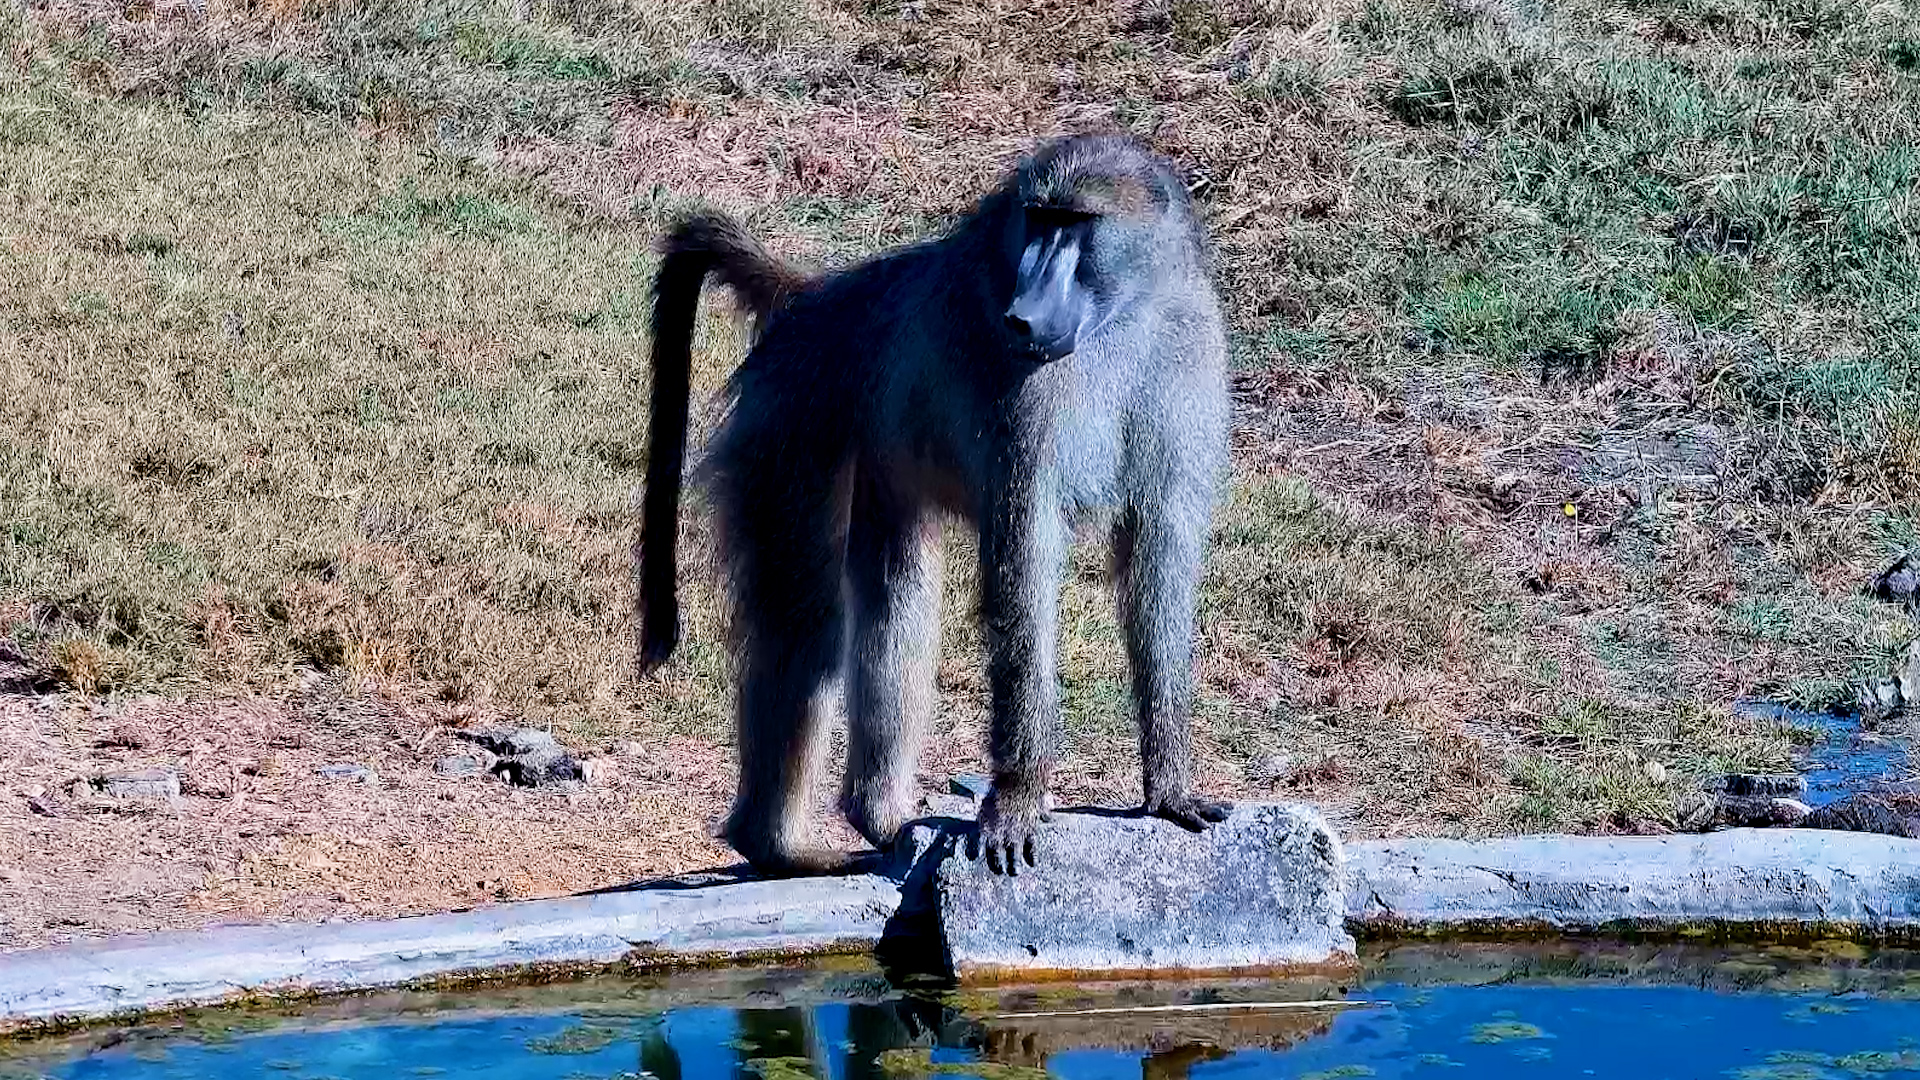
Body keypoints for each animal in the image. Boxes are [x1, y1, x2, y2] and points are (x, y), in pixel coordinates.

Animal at [639, 133, 1232, 877]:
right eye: (1038, 219)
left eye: (1074, 223)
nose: (1023, 314)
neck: (1127, 319)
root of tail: (819, 295)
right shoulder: (1025, 402)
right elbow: (1024, 569)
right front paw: (1016, 801)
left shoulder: (1189, 360)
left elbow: (1159, 562)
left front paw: (1170, 787)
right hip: (792, 423)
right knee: (806, 621)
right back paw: (777, 846)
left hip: (875, 467)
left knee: (897, 601)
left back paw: (881, 819)